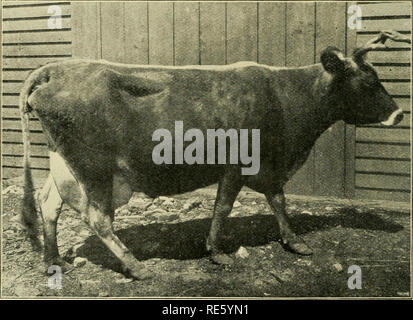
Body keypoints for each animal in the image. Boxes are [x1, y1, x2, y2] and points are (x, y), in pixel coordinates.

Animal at [18, 31, 406, 278]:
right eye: (369, 83)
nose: (399, 114)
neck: (285, 95)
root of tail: (57, 68)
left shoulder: (267, 166)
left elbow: (278, 200)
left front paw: (295, 242)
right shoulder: (238, 163)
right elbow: (224, 207)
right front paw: (217, 252)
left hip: (64, 163)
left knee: (48, 203)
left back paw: (53, 260)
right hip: (96, 169)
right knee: (97, 218)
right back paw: (136, 266)